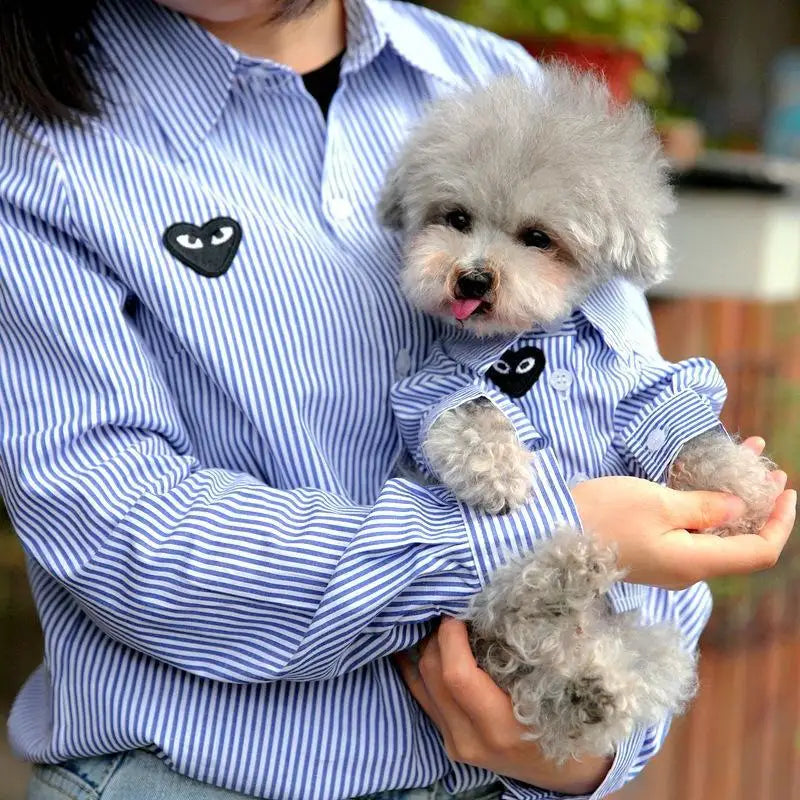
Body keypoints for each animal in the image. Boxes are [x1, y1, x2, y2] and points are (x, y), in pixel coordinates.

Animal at [382, 67, 780, 764]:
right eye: (455, 218)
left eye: (538, 238)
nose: (471, 278)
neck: (527, 343)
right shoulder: (433, 389)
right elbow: (473, 414)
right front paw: (499, 476)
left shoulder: (643, 389)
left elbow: (688, 432)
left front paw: (745, 491)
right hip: (479, 608)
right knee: (516, 623)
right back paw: (566, 584)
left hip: (648, 647)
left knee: (580, 682)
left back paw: (584, 683)